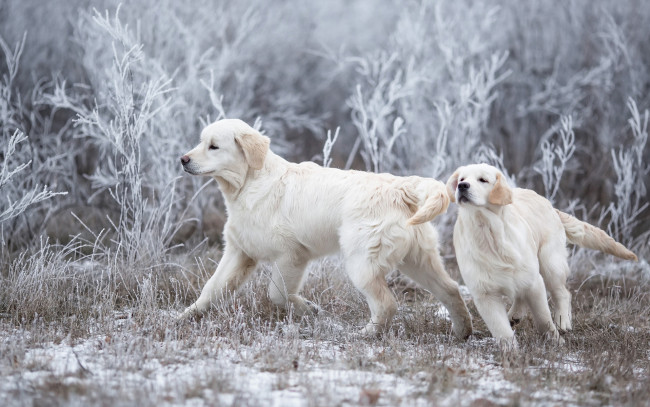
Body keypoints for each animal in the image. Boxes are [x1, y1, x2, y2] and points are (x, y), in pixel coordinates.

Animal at [177, 119, 470, 340]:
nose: (183, 159)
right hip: (417, 260)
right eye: (201, 142)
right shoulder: (240, 252)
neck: (249, 183)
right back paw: (462, 332)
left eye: (214, 146)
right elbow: (211, 288)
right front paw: (184, 316)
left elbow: (278, 294)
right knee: (451, 290)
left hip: (361, 263)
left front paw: (309, 309)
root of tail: (400, 188)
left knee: (387, 304)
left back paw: (364, 334)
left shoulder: (291, 255)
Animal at [440, 164, 632, 346]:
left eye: (482, 180)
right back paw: (515, 315)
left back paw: (562, 322)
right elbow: (501, 329)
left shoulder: (534, 281)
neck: (488, 232)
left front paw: (555, 340)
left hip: (550, 264)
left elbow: (543, 319)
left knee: (563, 293)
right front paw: (510, 352)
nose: (462, 186)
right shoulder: (484, 293)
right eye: (462, 179)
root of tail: (550, 205)